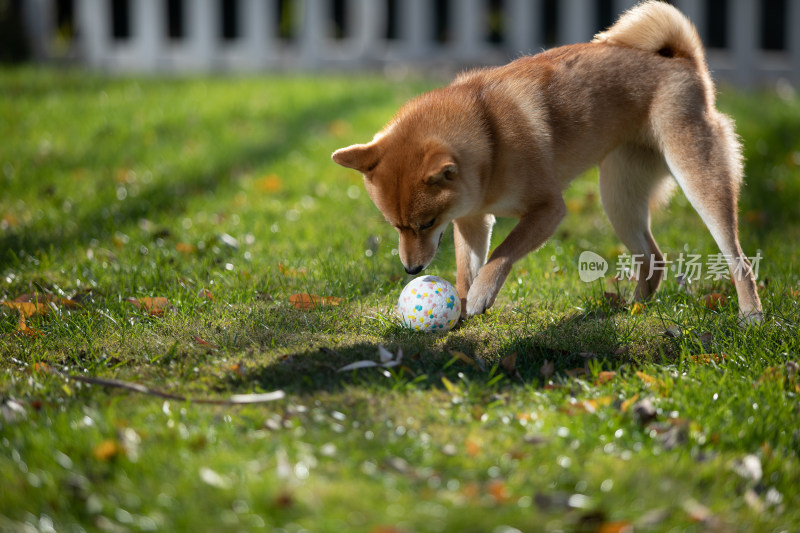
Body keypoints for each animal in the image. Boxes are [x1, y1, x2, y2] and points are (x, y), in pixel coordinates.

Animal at [330, 0, 764, 322]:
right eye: (395, 226)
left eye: (425, 223)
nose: (410, 271)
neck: (490, 136)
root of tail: (681, 60)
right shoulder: (472, 220)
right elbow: (467, 268)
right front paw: (462, 308)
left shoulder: (547, 210)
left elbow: (503, 252)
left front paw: (481, 295)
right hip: (619, 199)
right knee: (653, 258)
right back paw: (634, 308)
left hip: (697, 177)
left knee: (738, 258)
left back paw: (750, 315)